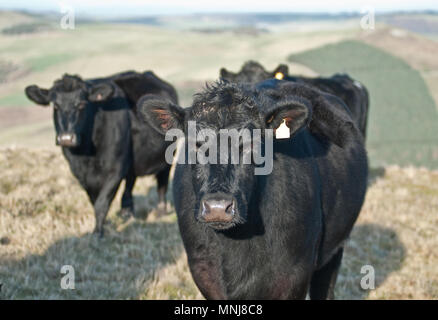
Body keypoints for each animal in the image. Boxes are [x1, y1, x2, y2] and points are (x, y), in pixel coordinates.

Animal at [24, 71, 177, 236]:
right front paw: (105, 224)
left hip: (166, 159)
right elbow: (93, 201)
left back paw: (161, 211)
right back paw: (127, 212)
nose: (66, 138)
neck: (86, 156)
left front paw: (97, 232)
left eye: (82, 104)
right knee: (130, 184)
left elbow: (101, 203)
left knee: (162, 182)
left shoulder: (115, 170)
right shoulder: (80, 174)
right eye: (55, 106)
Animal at [139, 80, 370, 300]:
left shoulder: (295, 274)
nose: (217, 207)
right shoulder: (204, 270)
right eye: (196, 144)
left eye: (251, 144)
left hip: (334, 250)